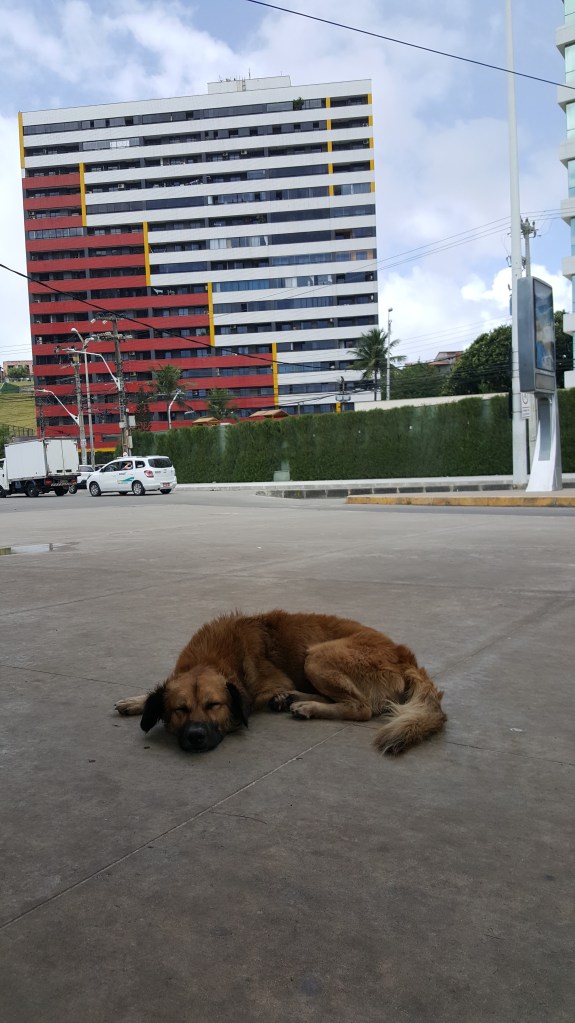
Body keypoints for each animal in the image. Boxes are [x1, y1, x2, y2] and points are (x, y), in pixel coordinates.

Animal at [115, 610, 446, 755]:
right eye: (179, 710)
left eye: (214, 705)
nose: (196, 736)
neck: (212, 658)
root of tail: (405, 656)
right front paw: (137, 701)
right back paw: (293, 699)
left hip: (317, 656)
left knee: (361, 707)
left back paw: (307, 706)